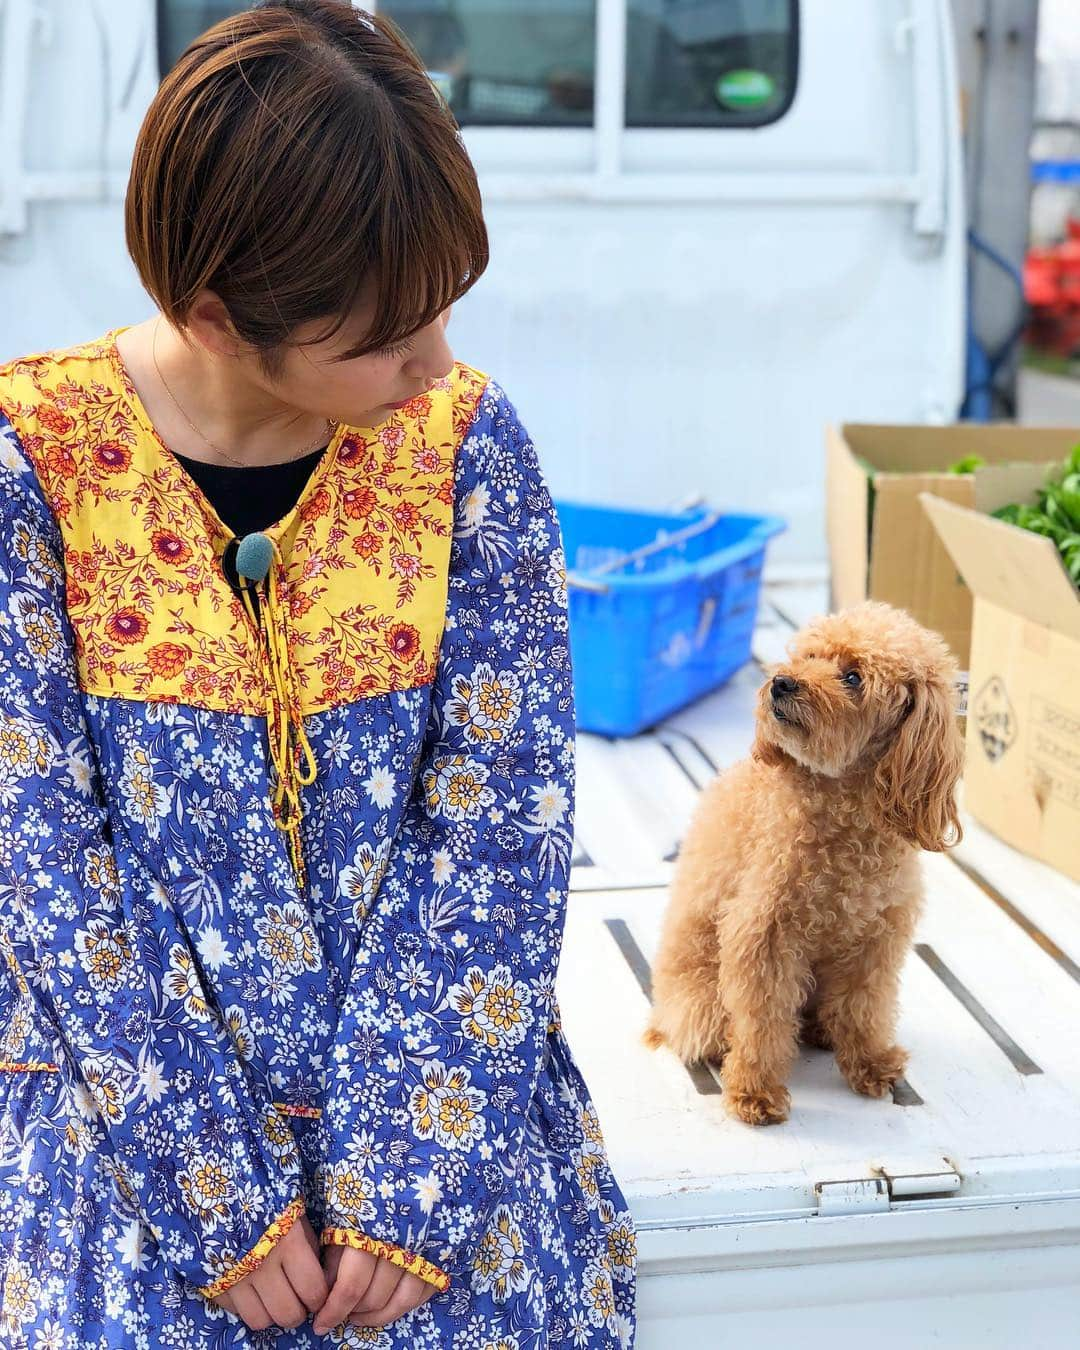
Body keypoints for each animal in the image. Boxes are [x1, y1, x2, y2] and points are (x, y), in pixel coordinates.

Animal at [642, 604, 961, 1128]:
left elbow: (864, 1008)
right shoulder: (763, 934)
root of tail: (659, 1016)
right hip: (703, 1002)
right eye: (809, 656)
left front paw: (870, 1063)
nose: (782, 683)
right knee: (716, 1030)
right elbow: (761, 1022)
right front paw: (754, 1093)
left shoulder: (876, 938)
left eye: (853, 677)